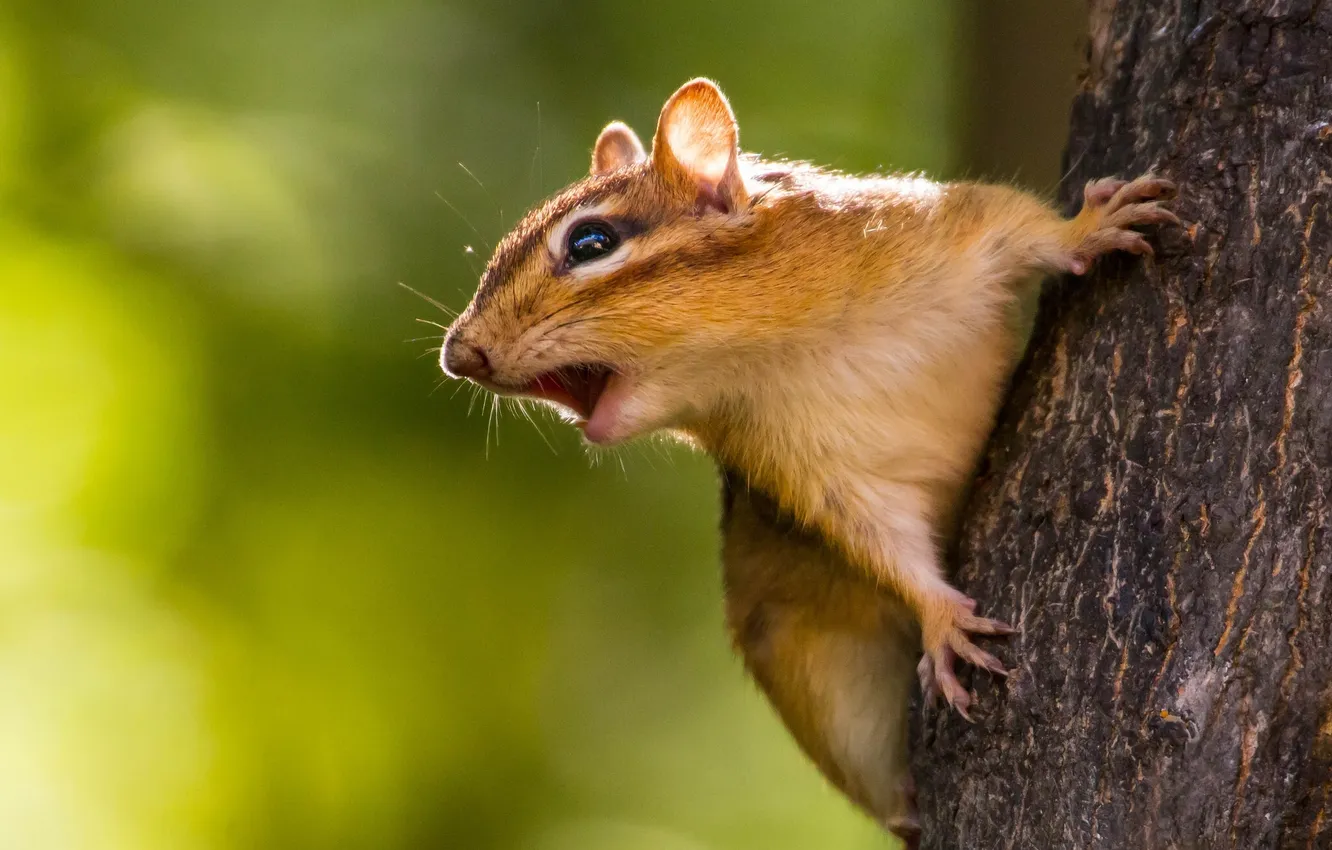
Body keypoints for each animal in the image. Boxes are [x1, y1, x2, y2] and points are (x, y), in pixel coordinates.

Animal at [439, 79, 1178, 840]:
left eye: (592, 242)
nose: (459, 355)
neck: (774, 351)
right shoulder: (815, 475)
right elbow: (879, 541)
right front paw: (941, 617)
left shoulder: (941, 228)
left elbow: (1018, 221)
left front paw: (1088, 225)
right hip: (823, 682)